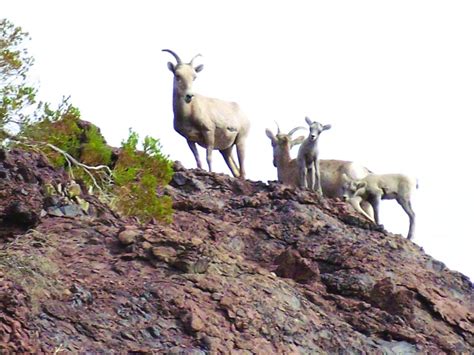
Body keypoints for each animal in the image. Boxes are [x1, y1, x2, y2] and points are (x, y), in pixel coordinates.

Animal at [163, 48, 250, 179]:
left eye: (194, 77)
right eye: (177, 75)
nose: (189, 96)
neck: (188, 114)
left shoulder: (209, 132)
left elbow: (208, 157)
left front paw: (211, 173)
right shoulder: (189, 139)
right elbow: (198, 160)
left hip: (241, 141)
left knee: (242, 169)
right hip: (226, 149)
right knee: (235, 170)